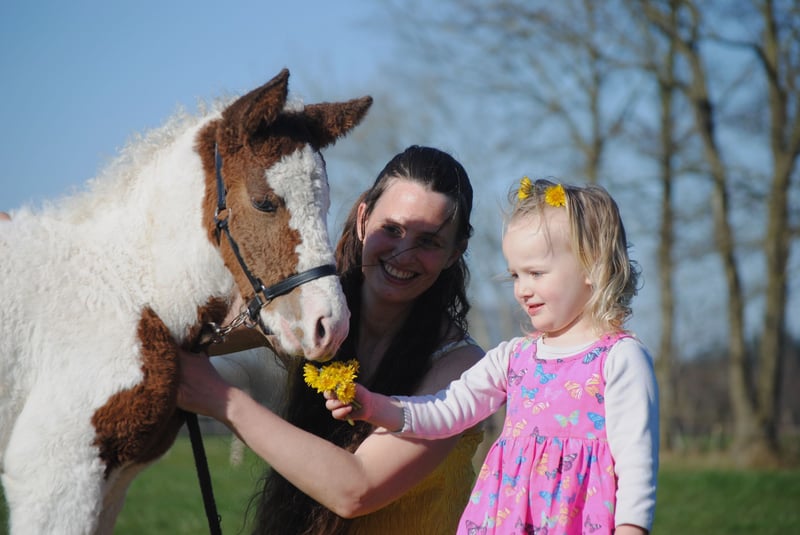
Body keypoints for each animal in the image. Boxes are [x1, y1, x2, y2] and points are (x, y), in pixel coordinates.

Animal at [0, 69, 372, 534]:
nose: (329, 325)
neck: (125, 289)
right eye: (264, 202)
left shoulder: (109, 485)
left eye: (325, 203)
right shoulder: (55, 473)